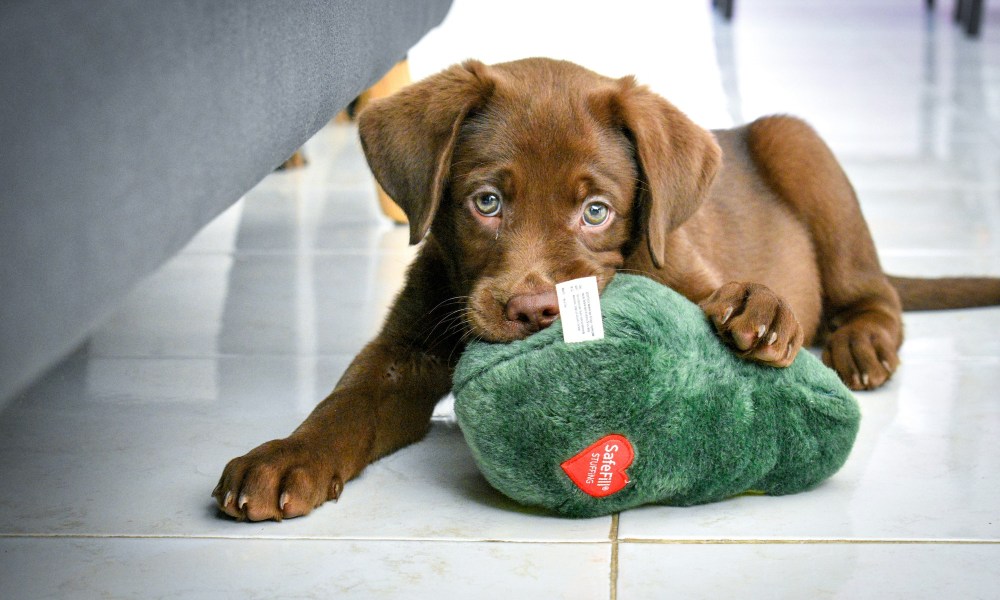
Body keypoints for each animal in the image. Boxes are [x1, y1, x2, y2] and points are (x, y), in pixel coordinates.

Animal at [215, 58, 1000, 524]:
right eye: (486, 202)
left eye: (596, 212)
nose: (534, 311)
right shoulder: (403, 350)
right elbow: (345, 405)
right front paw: (285, 457)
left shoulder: (685, 266)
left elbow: (722, 296)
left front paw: (761, 308)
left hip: (800, 146)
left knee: (877, 293)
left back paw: (860, 342)